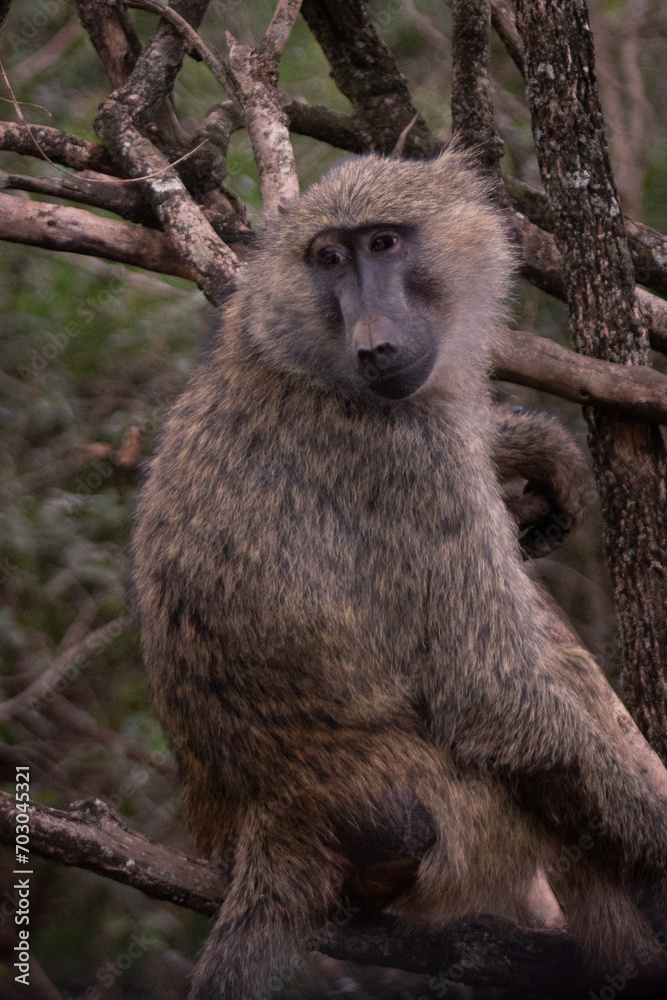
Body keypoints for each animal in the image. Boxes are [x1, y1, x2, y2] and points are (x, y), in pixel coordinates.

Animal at [132, 150, 667, 999]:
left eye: (382, 244)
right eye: (328, 259)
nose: (375, 346)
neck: (303, 360)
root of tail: (272, 818)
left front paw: (527, 445)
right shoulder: (410, 457)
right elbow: (493, 698)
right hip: (456, 825)